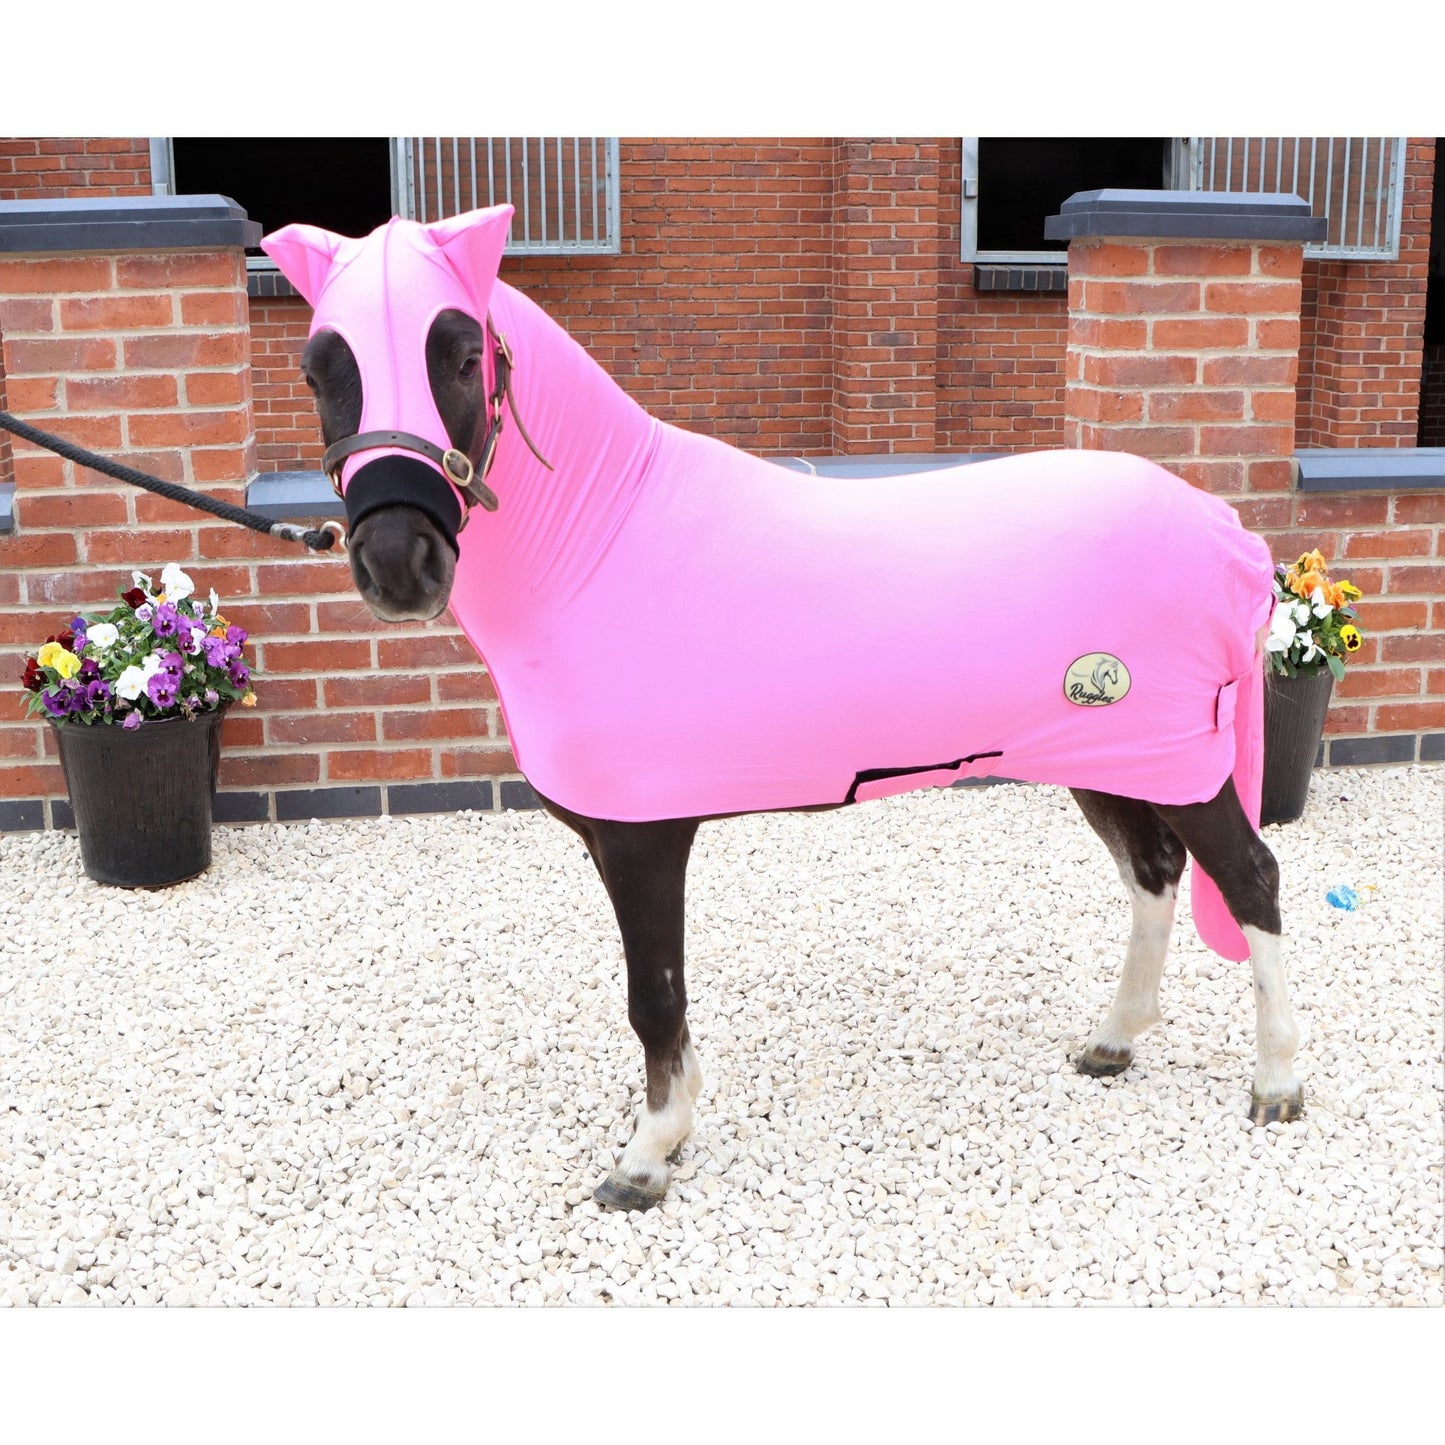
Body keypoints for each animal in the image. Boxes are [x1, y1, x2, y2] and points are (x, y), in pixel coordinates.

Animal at [262, 204, 1303, 1212]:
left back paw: (1277, 1083)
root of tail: (1225, 533)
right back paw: (1113, 1040)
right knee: (1152, 874)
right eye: (318, 369)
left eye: (461, 356)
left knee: (1248, 879)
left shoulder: (642, 834)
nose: (398, 563)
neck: (602, 547)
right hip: (1109, 758)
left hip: (1181, 763)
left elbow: (653, 997)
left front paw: (646, 1157)